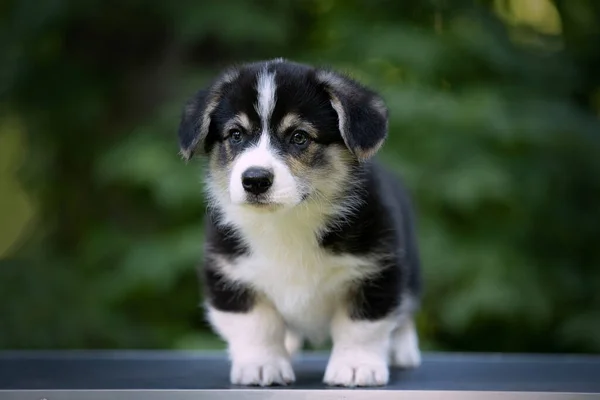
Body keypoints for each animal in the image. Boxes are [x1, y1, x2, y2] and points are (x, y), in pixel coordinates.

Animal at [178, 58, 422, 388]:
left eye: (299, 137)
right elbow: (257, 325)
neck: (288, 220)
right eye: (236, 135)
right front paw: (261, 366)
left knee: (405, 311)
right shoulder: (231, 274)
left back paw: (403, 351)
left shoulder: (377, 271)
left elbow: (361, 326)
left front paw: (356, 367)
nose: (254, 180)